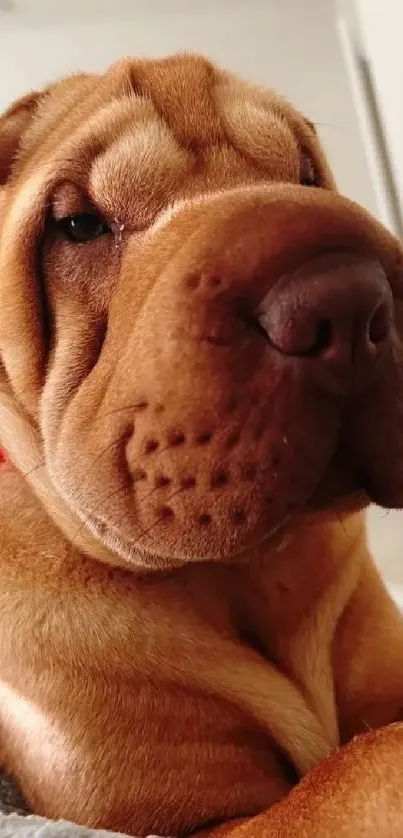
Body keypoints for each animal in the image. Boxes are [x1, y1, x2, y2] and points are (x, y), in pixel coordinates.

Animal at [0, 52, 403, 838]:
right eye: (80, 224)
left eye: (305, 176)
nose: (346, 299)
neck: (239, 574)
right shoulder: (199, 822)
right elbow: (354, 770)